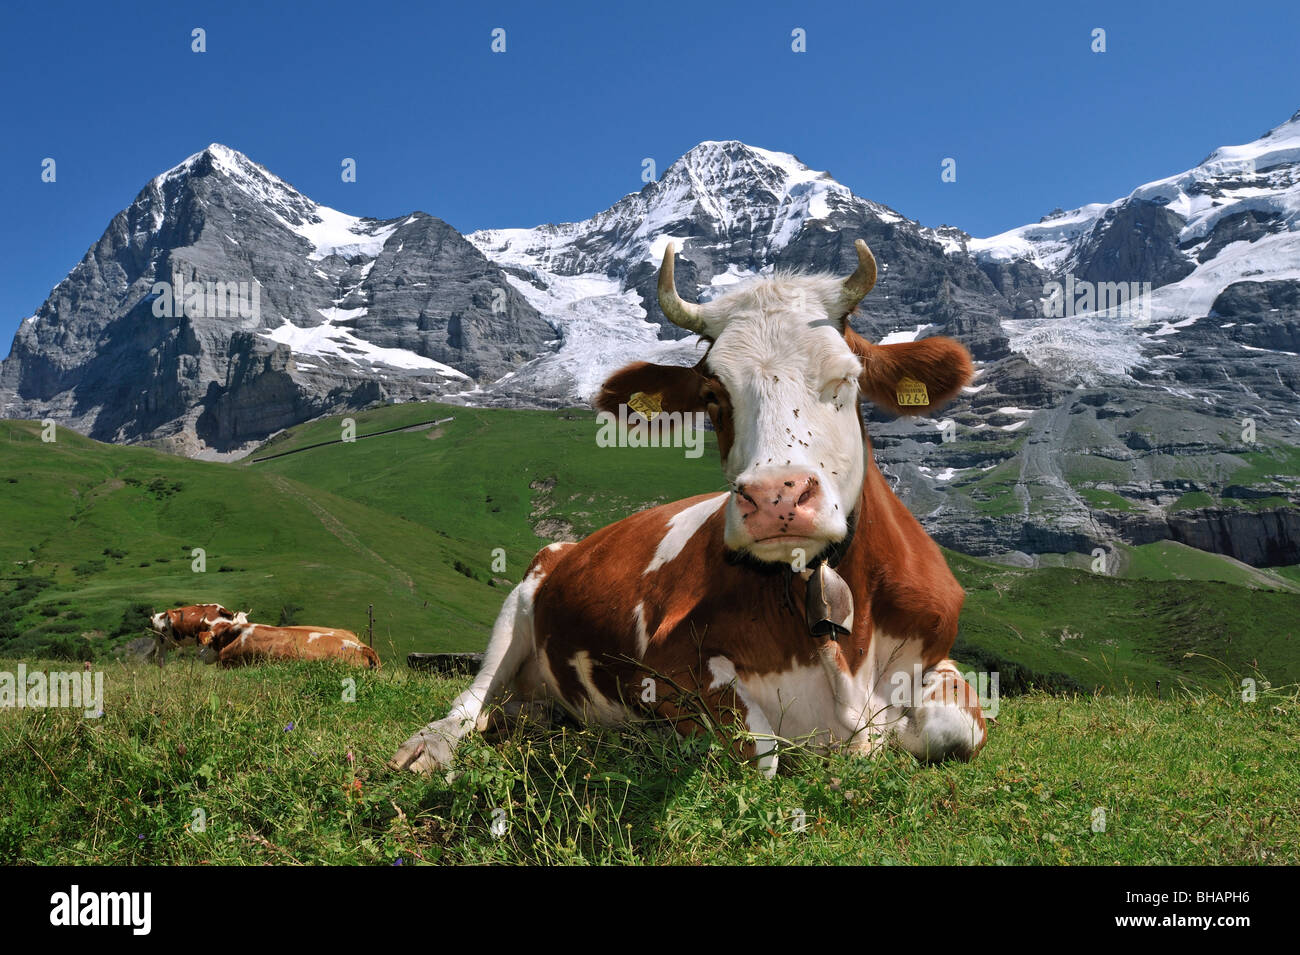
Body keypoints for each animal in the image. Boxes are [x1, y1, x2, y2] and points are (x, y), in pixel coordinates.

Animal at [392, 237, 982, 779]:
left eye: (847, 377)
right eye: (713, 395)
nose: (776, 497)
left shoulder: (940, 658)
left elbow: (956, 728)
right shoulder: (661, 669)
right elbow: (760, 753)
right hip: (517, 605)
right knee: (470, 702)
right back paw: (431, 744)